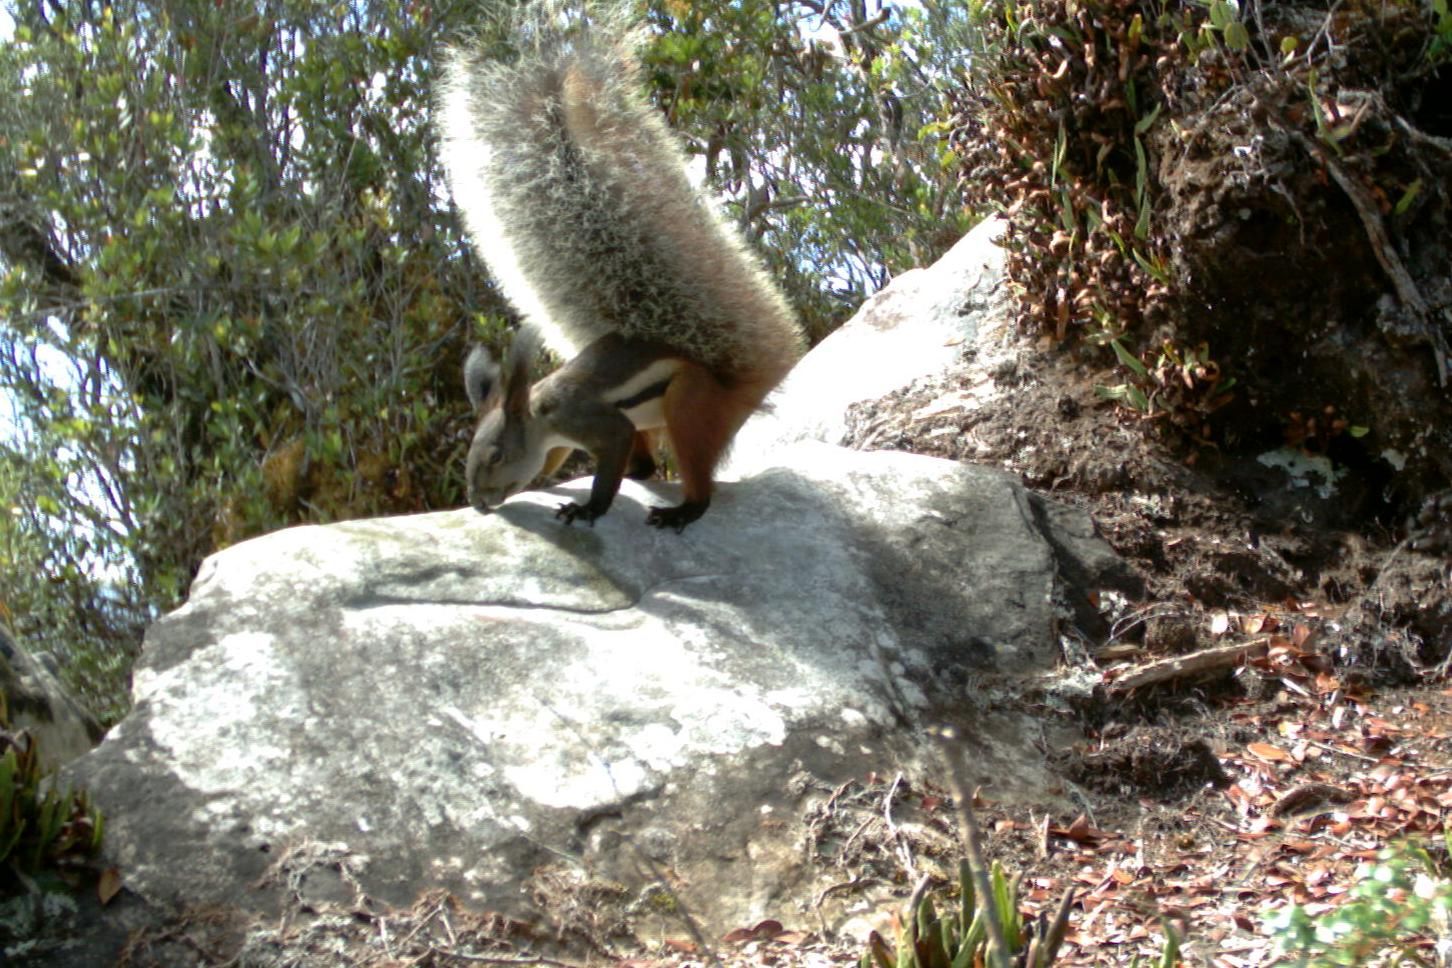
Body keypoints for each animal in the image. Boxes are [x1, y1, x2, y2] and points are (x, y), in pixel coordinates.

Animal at [437, 3, 805, 531]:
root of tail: (740, 386)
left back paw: (683, 509)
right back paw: (644, 474)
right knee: (648, 463)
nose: (479, 501)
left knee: (697, 474)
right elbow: (556, 461)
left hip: (689, 404)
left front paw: (588, 506)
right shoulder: (561, 441)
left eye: (495, 455)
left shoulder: (590, 420)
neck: (540, 412)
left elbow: (610, 452)